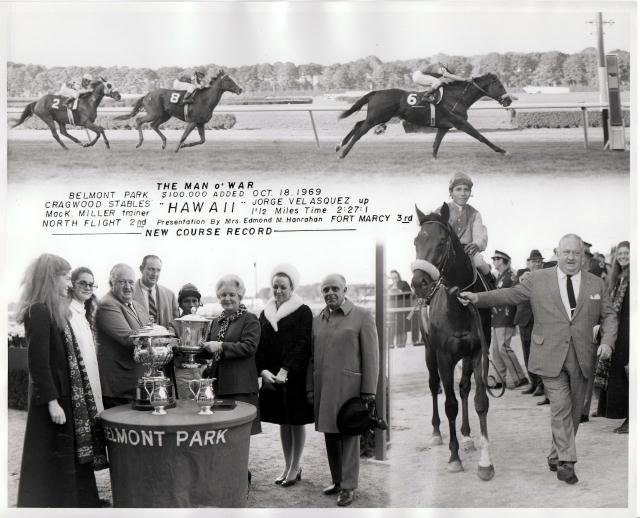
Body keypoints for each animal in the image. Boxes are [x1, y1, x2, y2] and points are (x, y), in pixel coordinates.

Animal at [114, 71, 244, 152]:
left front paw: (185, 145)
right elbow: (183, 136)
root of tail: (147, 95)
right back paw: (140, 142)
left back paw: (164, 143)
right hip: (154, 113)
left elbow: (202, 140)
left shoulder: (200, 123)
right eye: (229, 80)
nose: (240, 89)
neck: (205, 100)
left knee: (153, 125)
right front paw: (177, 148)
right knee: (139, 120)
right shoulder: (193, 122)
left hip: (165, 115)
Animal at [336, 72, 516, 159]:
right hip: (376, 118)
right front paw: (502, 151)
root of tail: (376, 92)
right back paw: (343, 154)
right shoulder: (460, 123)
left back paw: (339, 145)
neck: (457, 97)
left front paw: (434, 160)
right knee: (359, 132)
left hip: (379, 117)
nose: (508, 100)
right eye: (500, 86)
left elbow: (436, 144)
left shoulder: (444, 126)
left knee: (358, 124)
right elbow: (481, 137)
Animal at [410, 205, 496, 482]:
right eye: (416, 241)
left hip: (465, 356)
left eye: (441, 241)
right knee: (433, 385)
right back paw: (437, 433)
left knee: (464, 388)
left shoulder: (479, 352)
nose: (418, 283)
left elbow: (480, 401)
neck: (459, 303)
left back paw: (467, 436)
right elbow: (449, 405)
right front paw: (454, 457)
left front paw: (485, 463)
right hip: (429, 353)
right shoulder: (444, 357)